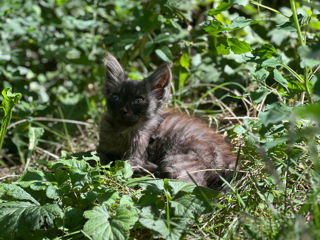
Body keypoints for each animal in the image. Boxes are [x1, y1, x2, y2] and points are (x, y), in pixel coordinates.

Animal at [96, 53, 236, 188]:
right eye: (116, 97)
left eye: (138, 100)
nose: (123, 110)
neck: (123, 130)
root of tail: (230, 160)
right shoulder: (103, 148)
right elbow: (98, 158)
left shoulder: (136, 155)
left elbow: (123, 165)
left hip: (178, 161)